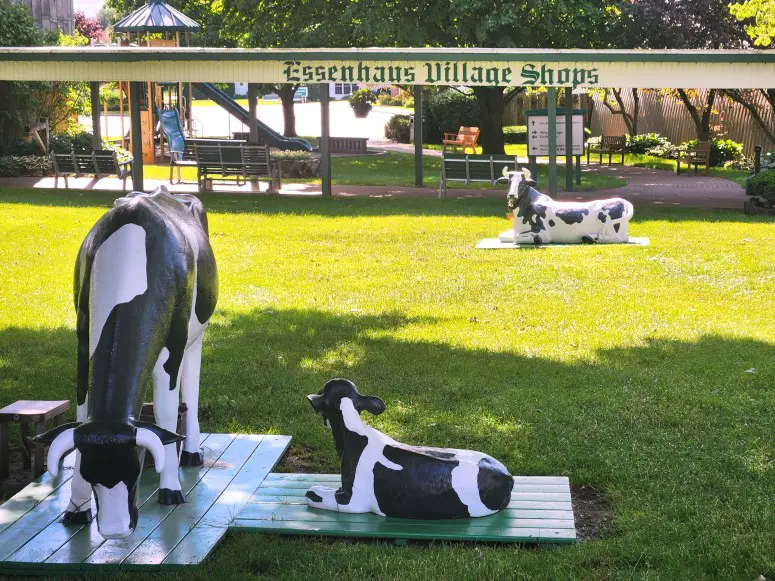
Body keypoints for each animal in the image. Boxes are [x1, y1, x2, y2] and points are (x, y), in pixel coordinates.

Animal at [34, 187, 217, 540]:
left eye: (134, 474)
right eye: (92, 477)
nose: (116, 530)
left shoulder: (172, 350)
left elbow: (165, 412)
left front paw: (170, 488)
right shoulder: (82, 345)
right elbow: (82, 413)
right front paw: (76, 506)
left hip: (195, 335)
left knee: (191, 387)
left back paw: (191, 452)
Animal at [498, 168, 636, 242]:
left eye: (522, 183)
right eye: (509, 182)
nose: (511, 195)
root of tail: (622, 201)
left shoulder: (542, 232)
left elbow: (517, 238)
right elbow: (502, 235)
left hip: (614, 231)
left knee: (622, 238)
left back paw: (594, 238)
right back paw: (589, 237)